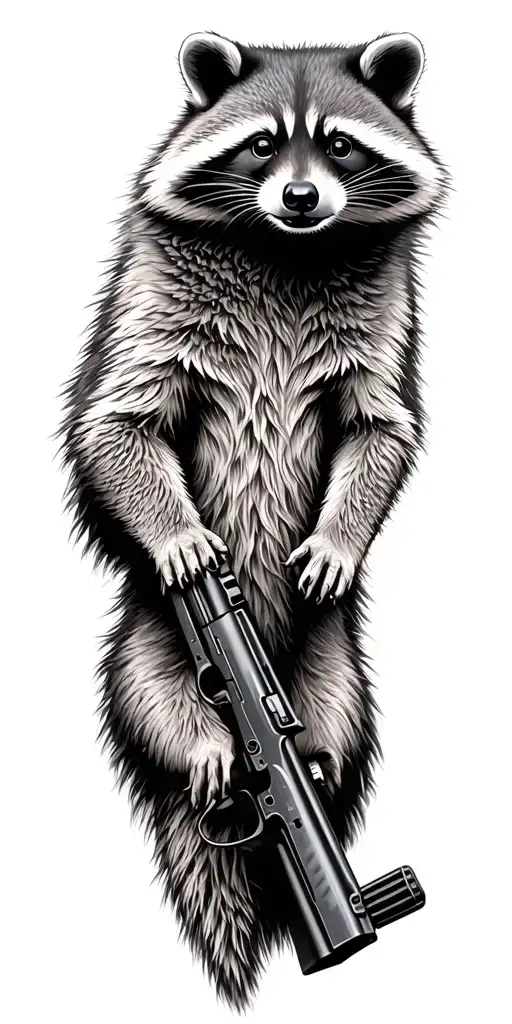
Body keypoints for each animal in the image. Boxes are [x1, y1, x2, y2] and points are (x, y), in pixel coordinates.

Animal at [61, 31, 446, 1012]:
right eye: (262, 145)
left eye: (340, 145)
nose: (301, 199)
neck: (286, 252)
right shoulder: (153, 297)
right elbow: (119, 422)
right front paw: (176, 535)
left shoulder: (384, 322)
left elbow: (380, 428)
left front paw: (338, 540)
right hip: (143, 646)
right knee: (154, 711)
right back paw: (202, 746)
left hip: (336, 670)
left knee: (339, 734)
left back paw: (317, 774)